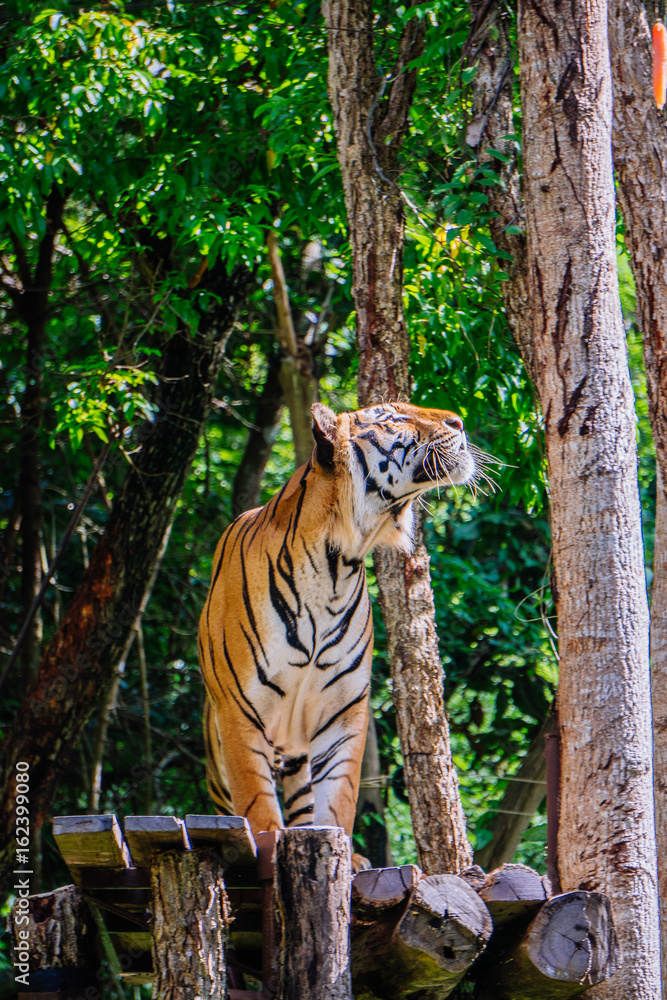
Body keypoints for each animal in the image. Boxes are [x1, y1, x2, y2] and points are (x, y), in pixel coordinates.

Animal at [198, 400, 478, 844]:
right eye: (392, 417)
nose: (459, 421)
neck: (336, 566)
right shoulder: (241, 713)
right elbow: (259, 810)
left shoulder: (343, 711)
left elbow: (337, 805)